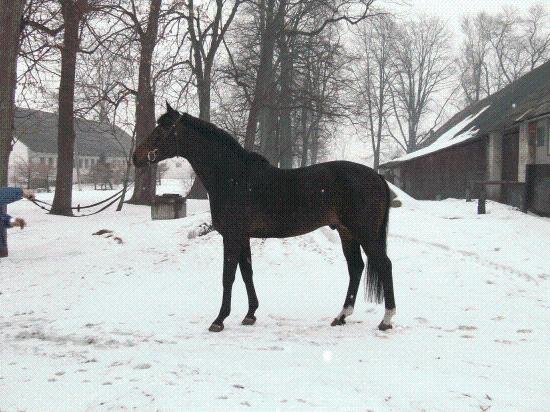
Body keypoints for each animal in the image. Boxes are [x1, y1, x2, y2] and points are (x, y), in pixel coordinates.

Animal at [136, 104, 398, 334]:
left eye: (162, 128)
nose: (135, 157)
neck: (233, 177)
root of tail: (376, 177)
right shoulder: (242, 237)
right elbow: (246, 273)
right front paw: (250, 315)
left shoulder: (232, 236)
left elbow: (228, 276)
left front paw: (219, 320)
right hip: (347, 232)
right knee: (356, 267)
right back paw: (341, 316)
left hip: (365, 233)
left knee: (384, 264)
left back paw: (386, 320)